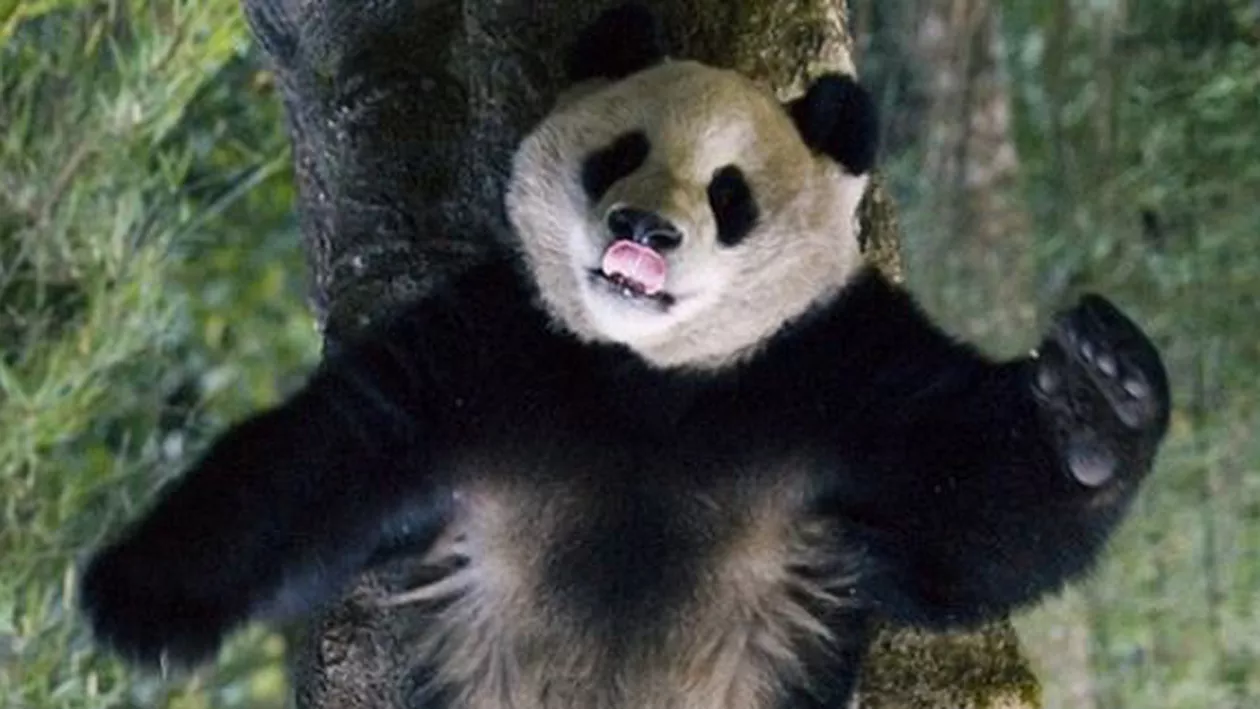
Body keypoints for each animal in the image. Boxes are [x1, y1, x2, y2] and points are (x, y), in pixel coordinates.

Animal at [80, 5, 1170, 708]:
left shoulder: (828, 371)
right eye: (621, 152)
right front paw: (137, 594)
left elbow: (977, 517)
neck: (650, 375)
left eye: (730, 193)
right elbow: (336, 451)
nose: (643, 229)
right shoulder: (495, 347)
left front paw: (1098, 401)